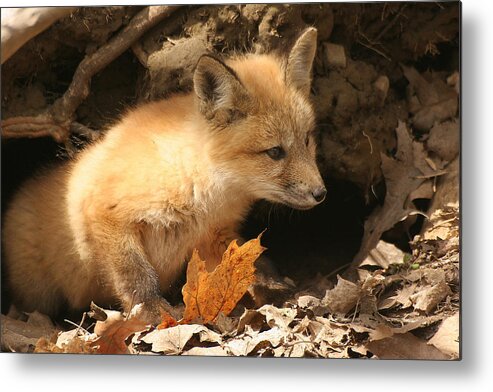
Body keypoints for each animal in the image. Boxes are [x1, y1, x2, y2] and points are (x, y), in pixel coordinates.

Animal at [1, 26, 324, 322]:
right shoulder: (107, 214)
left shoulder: (214, 236)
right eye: (275, 152)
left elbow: (247, 263)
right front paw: (153, 313)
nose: (321, 193)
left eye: (307, 139)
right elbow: (137, 275)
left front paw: (272, 287)